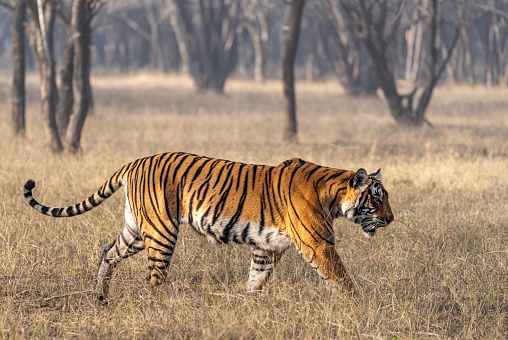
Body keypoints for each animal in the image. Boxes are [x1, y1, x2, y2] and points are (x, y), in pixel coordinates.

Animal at [22, 153, 392, 302]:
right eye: (376, 200)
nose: (391, 219)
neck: (333, 194)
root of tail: (135, 162)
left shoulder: (267, 247)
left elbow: (256, 280)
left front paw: (249, 305)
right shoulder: (319, 244)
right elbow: (342, 278)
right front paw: (359, 305)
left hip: (136, 231)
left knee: (107, 252)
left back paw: (100, 296)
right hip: (161, 231)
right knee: (153, 277)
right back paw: (166, 308)